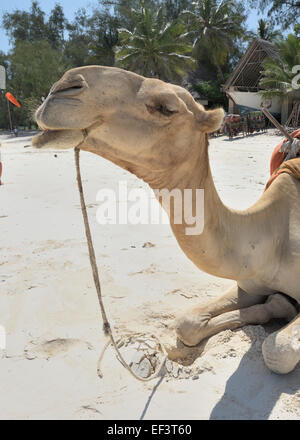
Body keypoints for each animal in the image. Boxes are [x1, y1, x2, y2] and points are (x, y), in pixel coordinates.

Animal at [32, 66, 300, 374]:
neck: (271, 237)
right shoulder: (247, 283)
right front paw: (277, 303)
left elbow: (278, 350)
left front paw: (282, 305)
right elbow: (187, 324)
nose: (62, 87)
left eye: (165, 108)